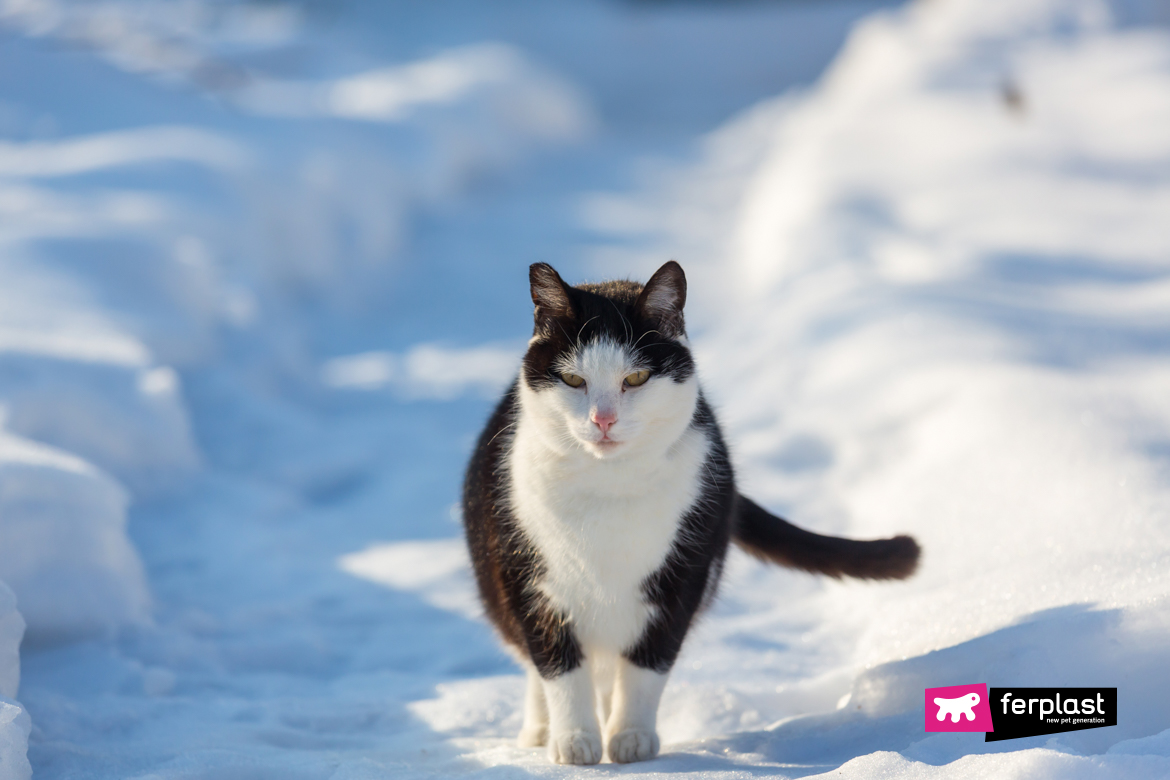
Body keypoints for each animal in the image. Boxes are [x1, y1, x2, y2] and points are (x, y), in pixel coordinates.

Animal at [460, 260, 917, 762]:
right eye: (574, 381)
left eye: (636, 379)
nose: (603, 419)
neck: (609, 485)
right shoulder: (528, 576)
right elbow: (558, 666)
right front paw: (575, 740)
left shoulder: (685, 569)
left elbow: (649, 662)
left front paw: (631, 738)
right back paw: (540, 729)